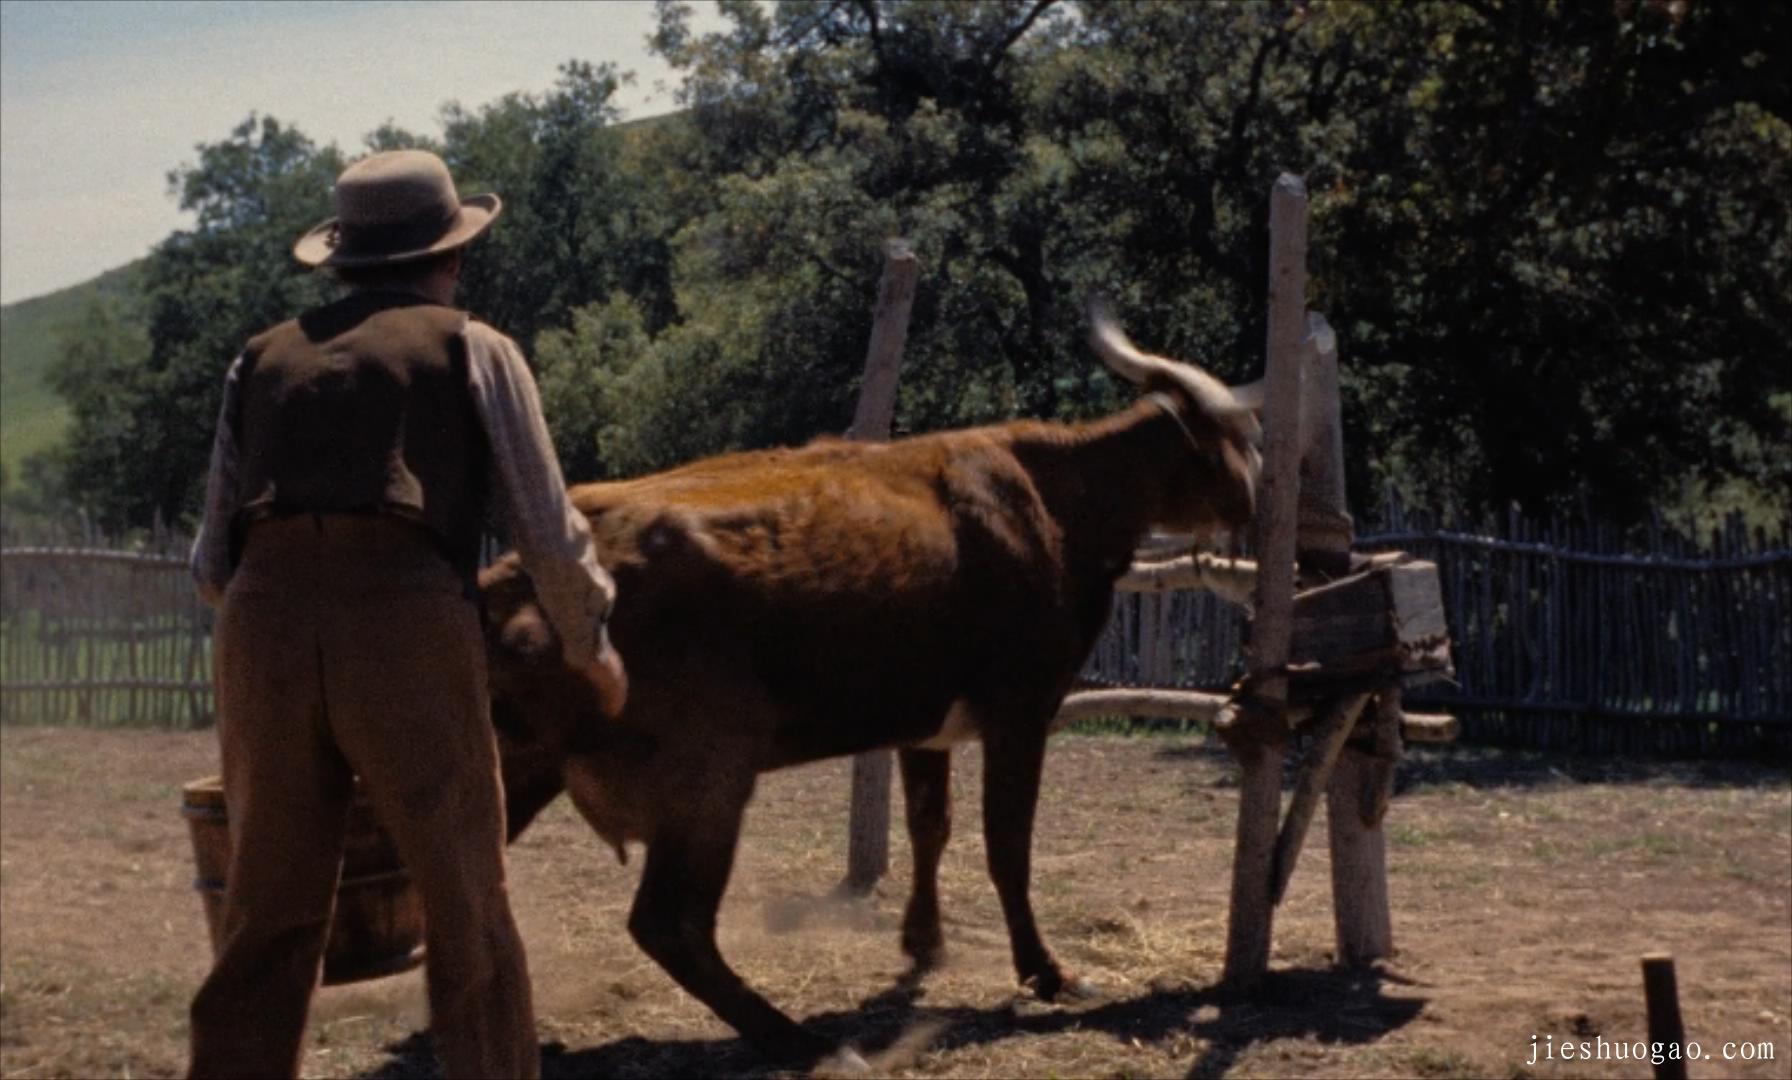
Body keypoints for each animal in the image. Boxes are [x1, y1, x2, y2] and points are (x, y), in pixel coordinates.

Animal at [480, 313, 1261, 1067]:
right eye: (1240, 443)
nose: (1257, 502)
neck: (1052, 493)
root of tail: (519, 573)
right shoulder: (1021, 711)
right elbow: (1007, 842)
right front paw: (1046, 971)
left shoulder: (926, 724)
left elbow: (930, 823)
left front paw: (924, 942)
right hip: (707, 779)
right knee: (670, 923)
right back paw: (802, 1041)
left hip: (525, 767)